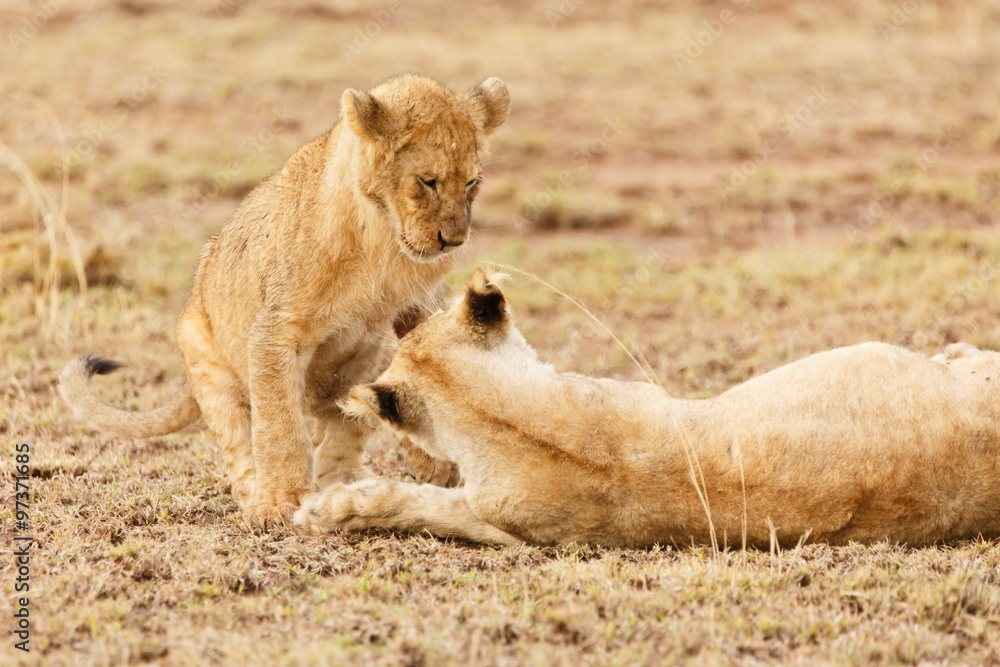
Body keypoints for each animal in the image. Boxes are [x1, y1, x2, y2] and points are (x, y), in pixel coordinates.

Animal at [59, 75, 509, 521]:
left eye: (471, 183)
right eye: (428, 181)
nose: (454, 241)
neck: (381, 237)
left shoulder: (418, 307)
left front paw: (435, 464)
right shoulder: (275, 329)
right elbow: (279, 422)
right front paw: (281, 500)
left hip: (369, 364)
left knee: (338, 441)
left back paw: (350, 485)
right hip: (208, 365)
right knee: (242, 443)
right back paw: (257, 494)